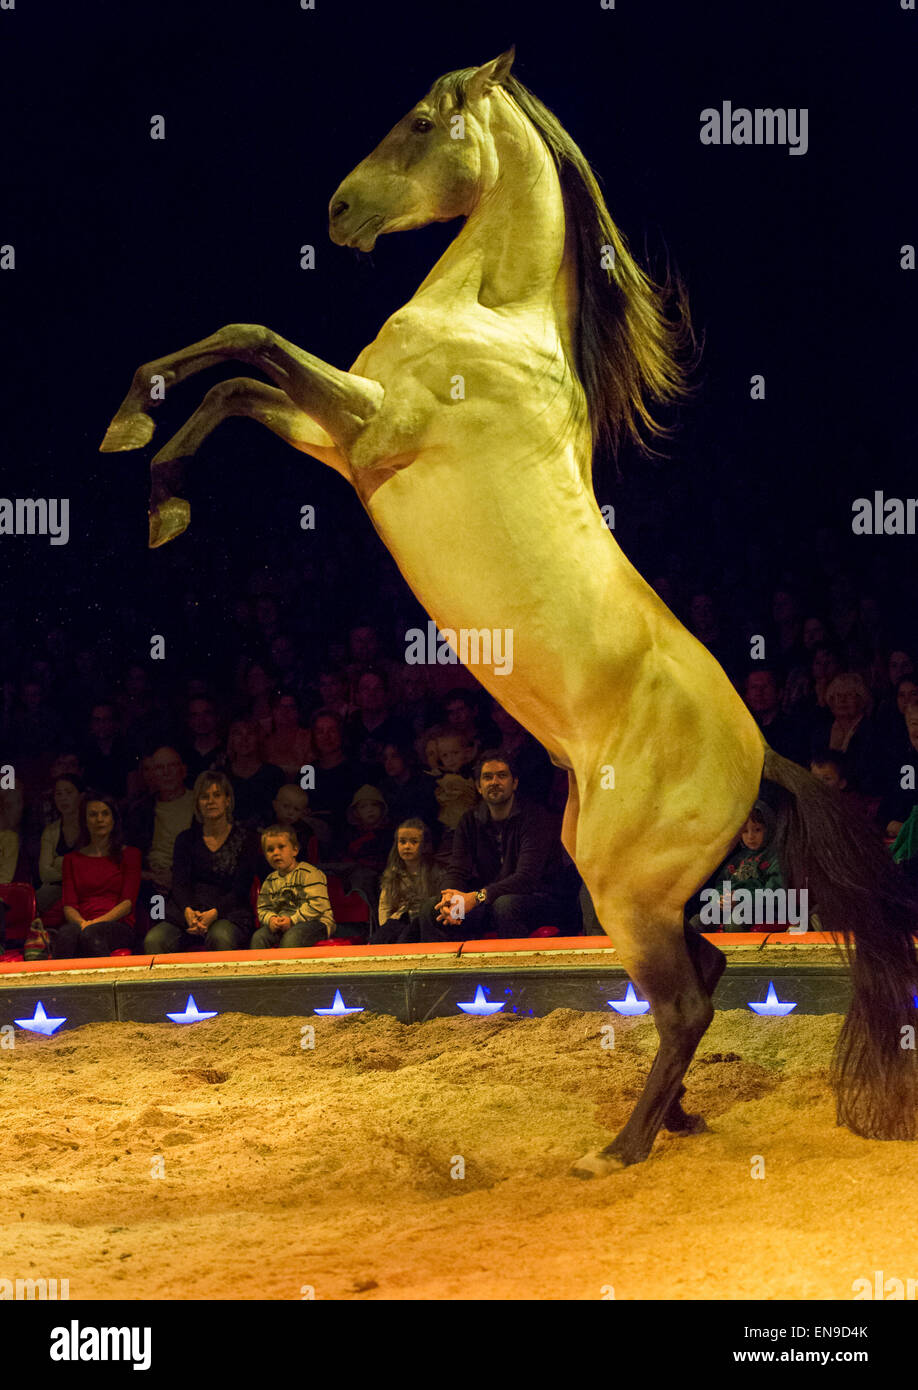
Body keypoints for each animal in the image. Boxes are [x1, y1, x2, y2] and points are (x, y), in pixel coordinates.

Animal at [102, 48, 918, 1167]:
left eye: (419, 121)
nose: (340, 212)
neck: (489, 321)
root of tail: (762, 754)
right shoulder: (338, 441)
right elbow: (237, 368)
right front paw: (145, 454)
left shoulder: (369, 421)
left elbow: (253, 344)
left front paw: (154, 479)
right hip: (633, 885)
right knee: (704, 975)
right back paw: (676, 1120)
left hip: (622, 887)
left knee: (687, 1001)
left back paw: (620, 1148)